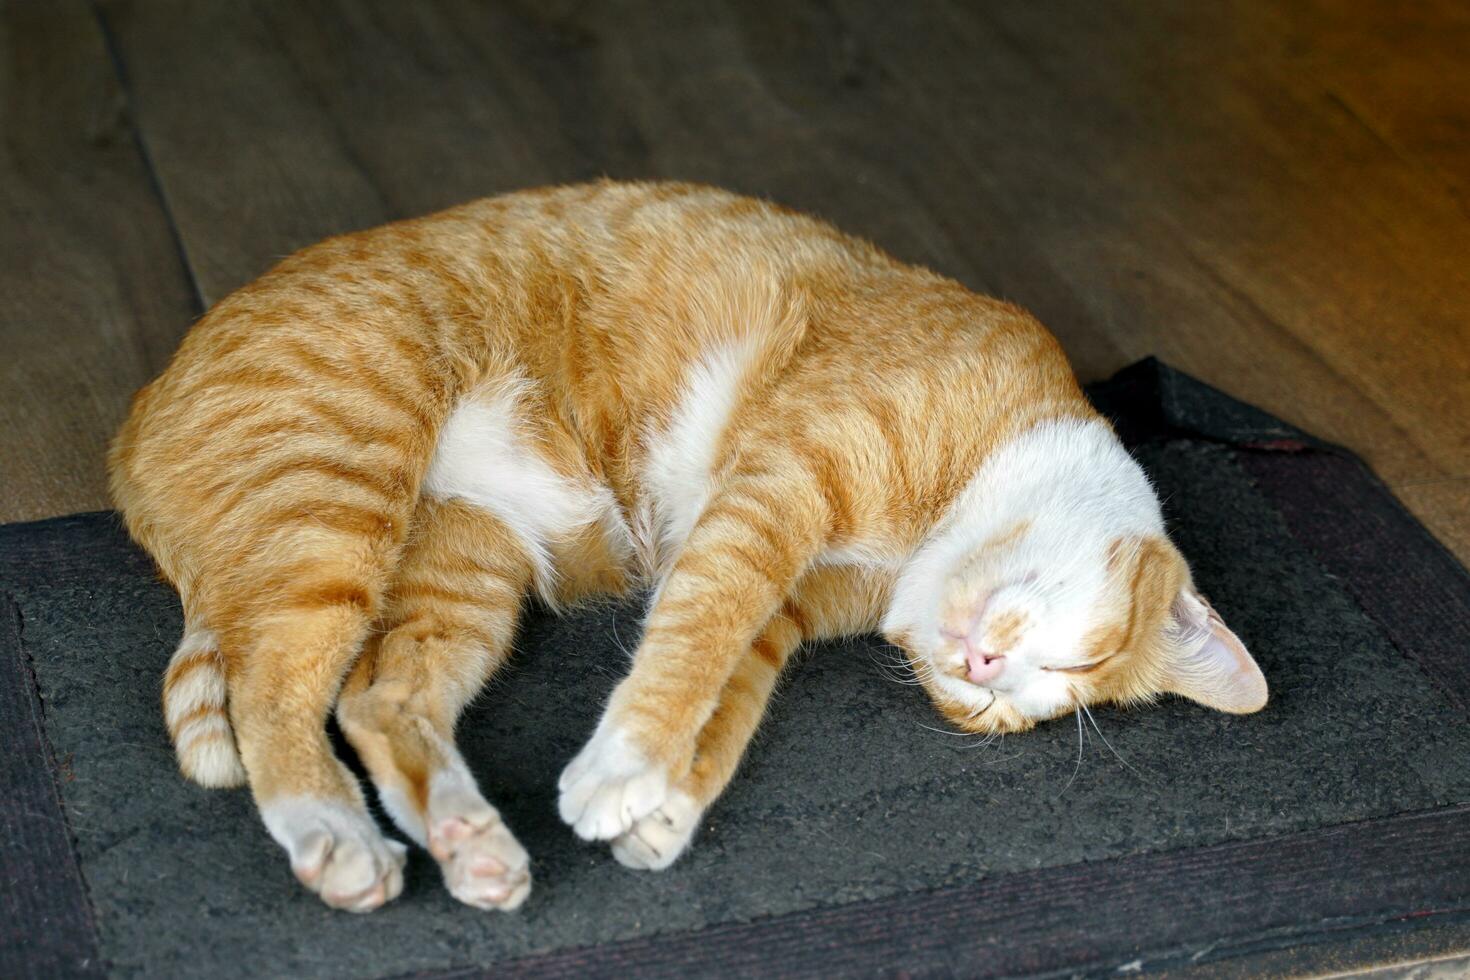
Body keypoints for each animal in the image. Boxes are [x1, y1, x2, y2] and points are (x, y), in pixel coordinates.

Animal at [108, 179, 1270, 916]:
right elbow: (691, 643)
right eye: (1077, 663)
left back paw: (468, 840)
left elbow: (728, 703)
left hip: (461, 565)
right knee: (272, 690)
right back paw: (332, 832)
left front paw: (662, 806)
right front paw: (624, 766)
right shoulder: (768, 502)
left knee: (375, 699)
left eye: (1001, 710)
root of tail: (131, 424)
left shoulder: (783, 602)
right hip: (338, 494)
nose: (981, 671)